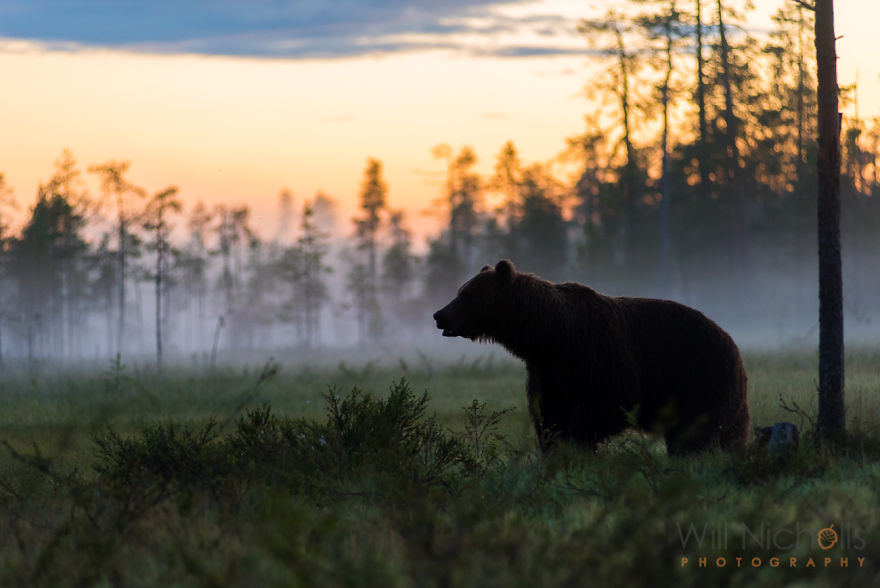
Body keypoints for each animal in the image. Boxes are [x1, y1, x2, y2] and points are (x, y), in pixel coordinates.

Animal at [432, 260, 749, 455]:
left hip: (699, 379)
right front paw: (554, 448)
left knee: (697, 433)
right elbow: (549, 414)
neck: (550, 336)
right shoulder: (548, 373)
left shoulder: (601, 360)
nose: (438, 314)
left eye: (466, 294)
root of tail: (734, 346)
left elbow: (605, 406)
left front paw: (576, 443)